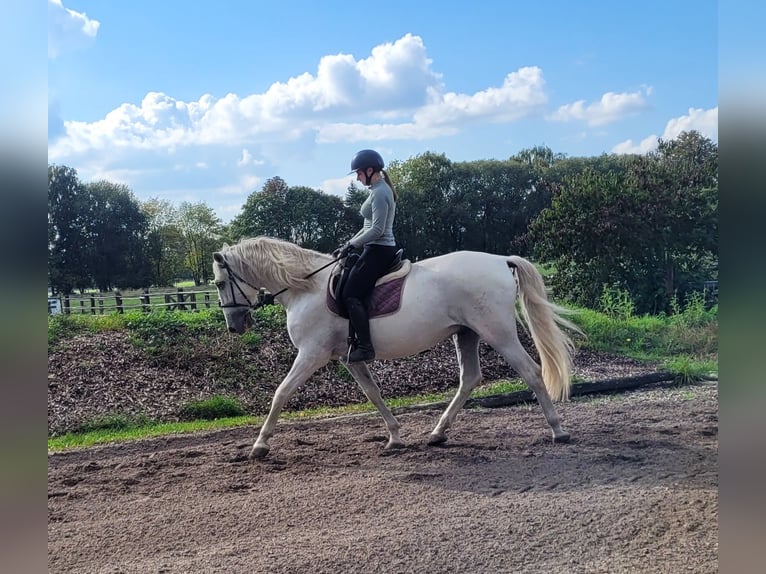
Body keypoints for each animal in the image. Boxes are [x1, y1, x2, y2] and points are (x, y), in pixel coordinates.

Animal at [212, 236, 581, 459]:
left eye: (218, 282)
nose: (235, 326)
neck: (306, 288)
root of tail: (499, 260)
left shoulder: (311, 355)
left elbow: (281, 393)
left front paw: (259, 445)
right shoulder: (349, 359)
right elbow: (373, 394)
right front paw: (395, 438)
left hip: (498, 332)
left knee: (530, 372)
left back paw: (558, 430)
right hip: (467, 334)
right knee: (470, 379)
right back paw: (437, 433)